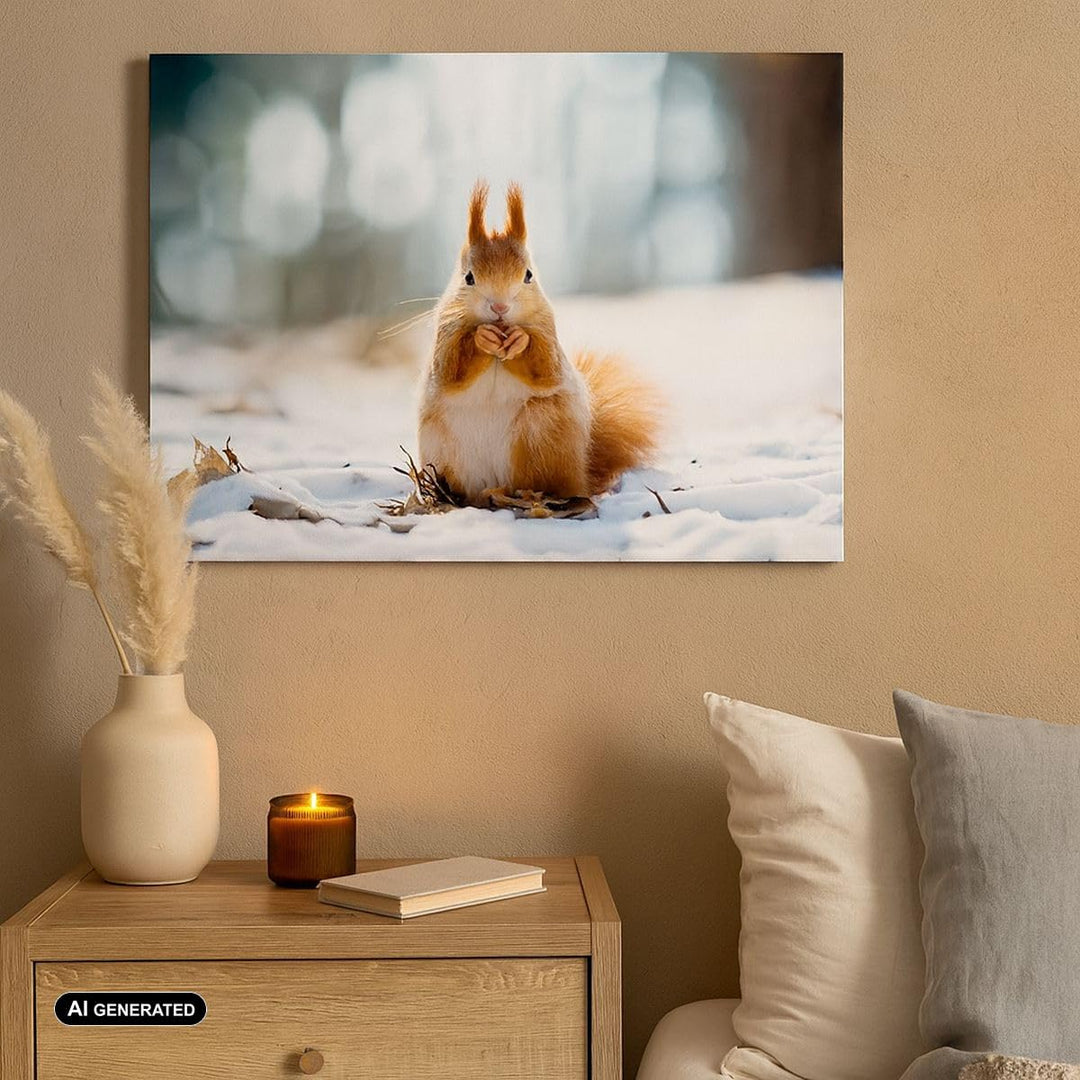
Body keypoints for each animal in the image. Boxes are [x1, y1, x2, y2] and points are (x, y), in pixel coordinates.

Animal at [418, 181, 661, 505]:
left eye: (528, 275)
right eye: (468, 277)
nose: (499, 307)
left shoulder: (548, 332)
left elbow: (546, 369)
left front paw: (520, 341)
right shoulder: (445, 335)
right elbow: (450, 371)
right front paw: (482, 338)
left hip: (541, 434)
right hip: (445, 454)